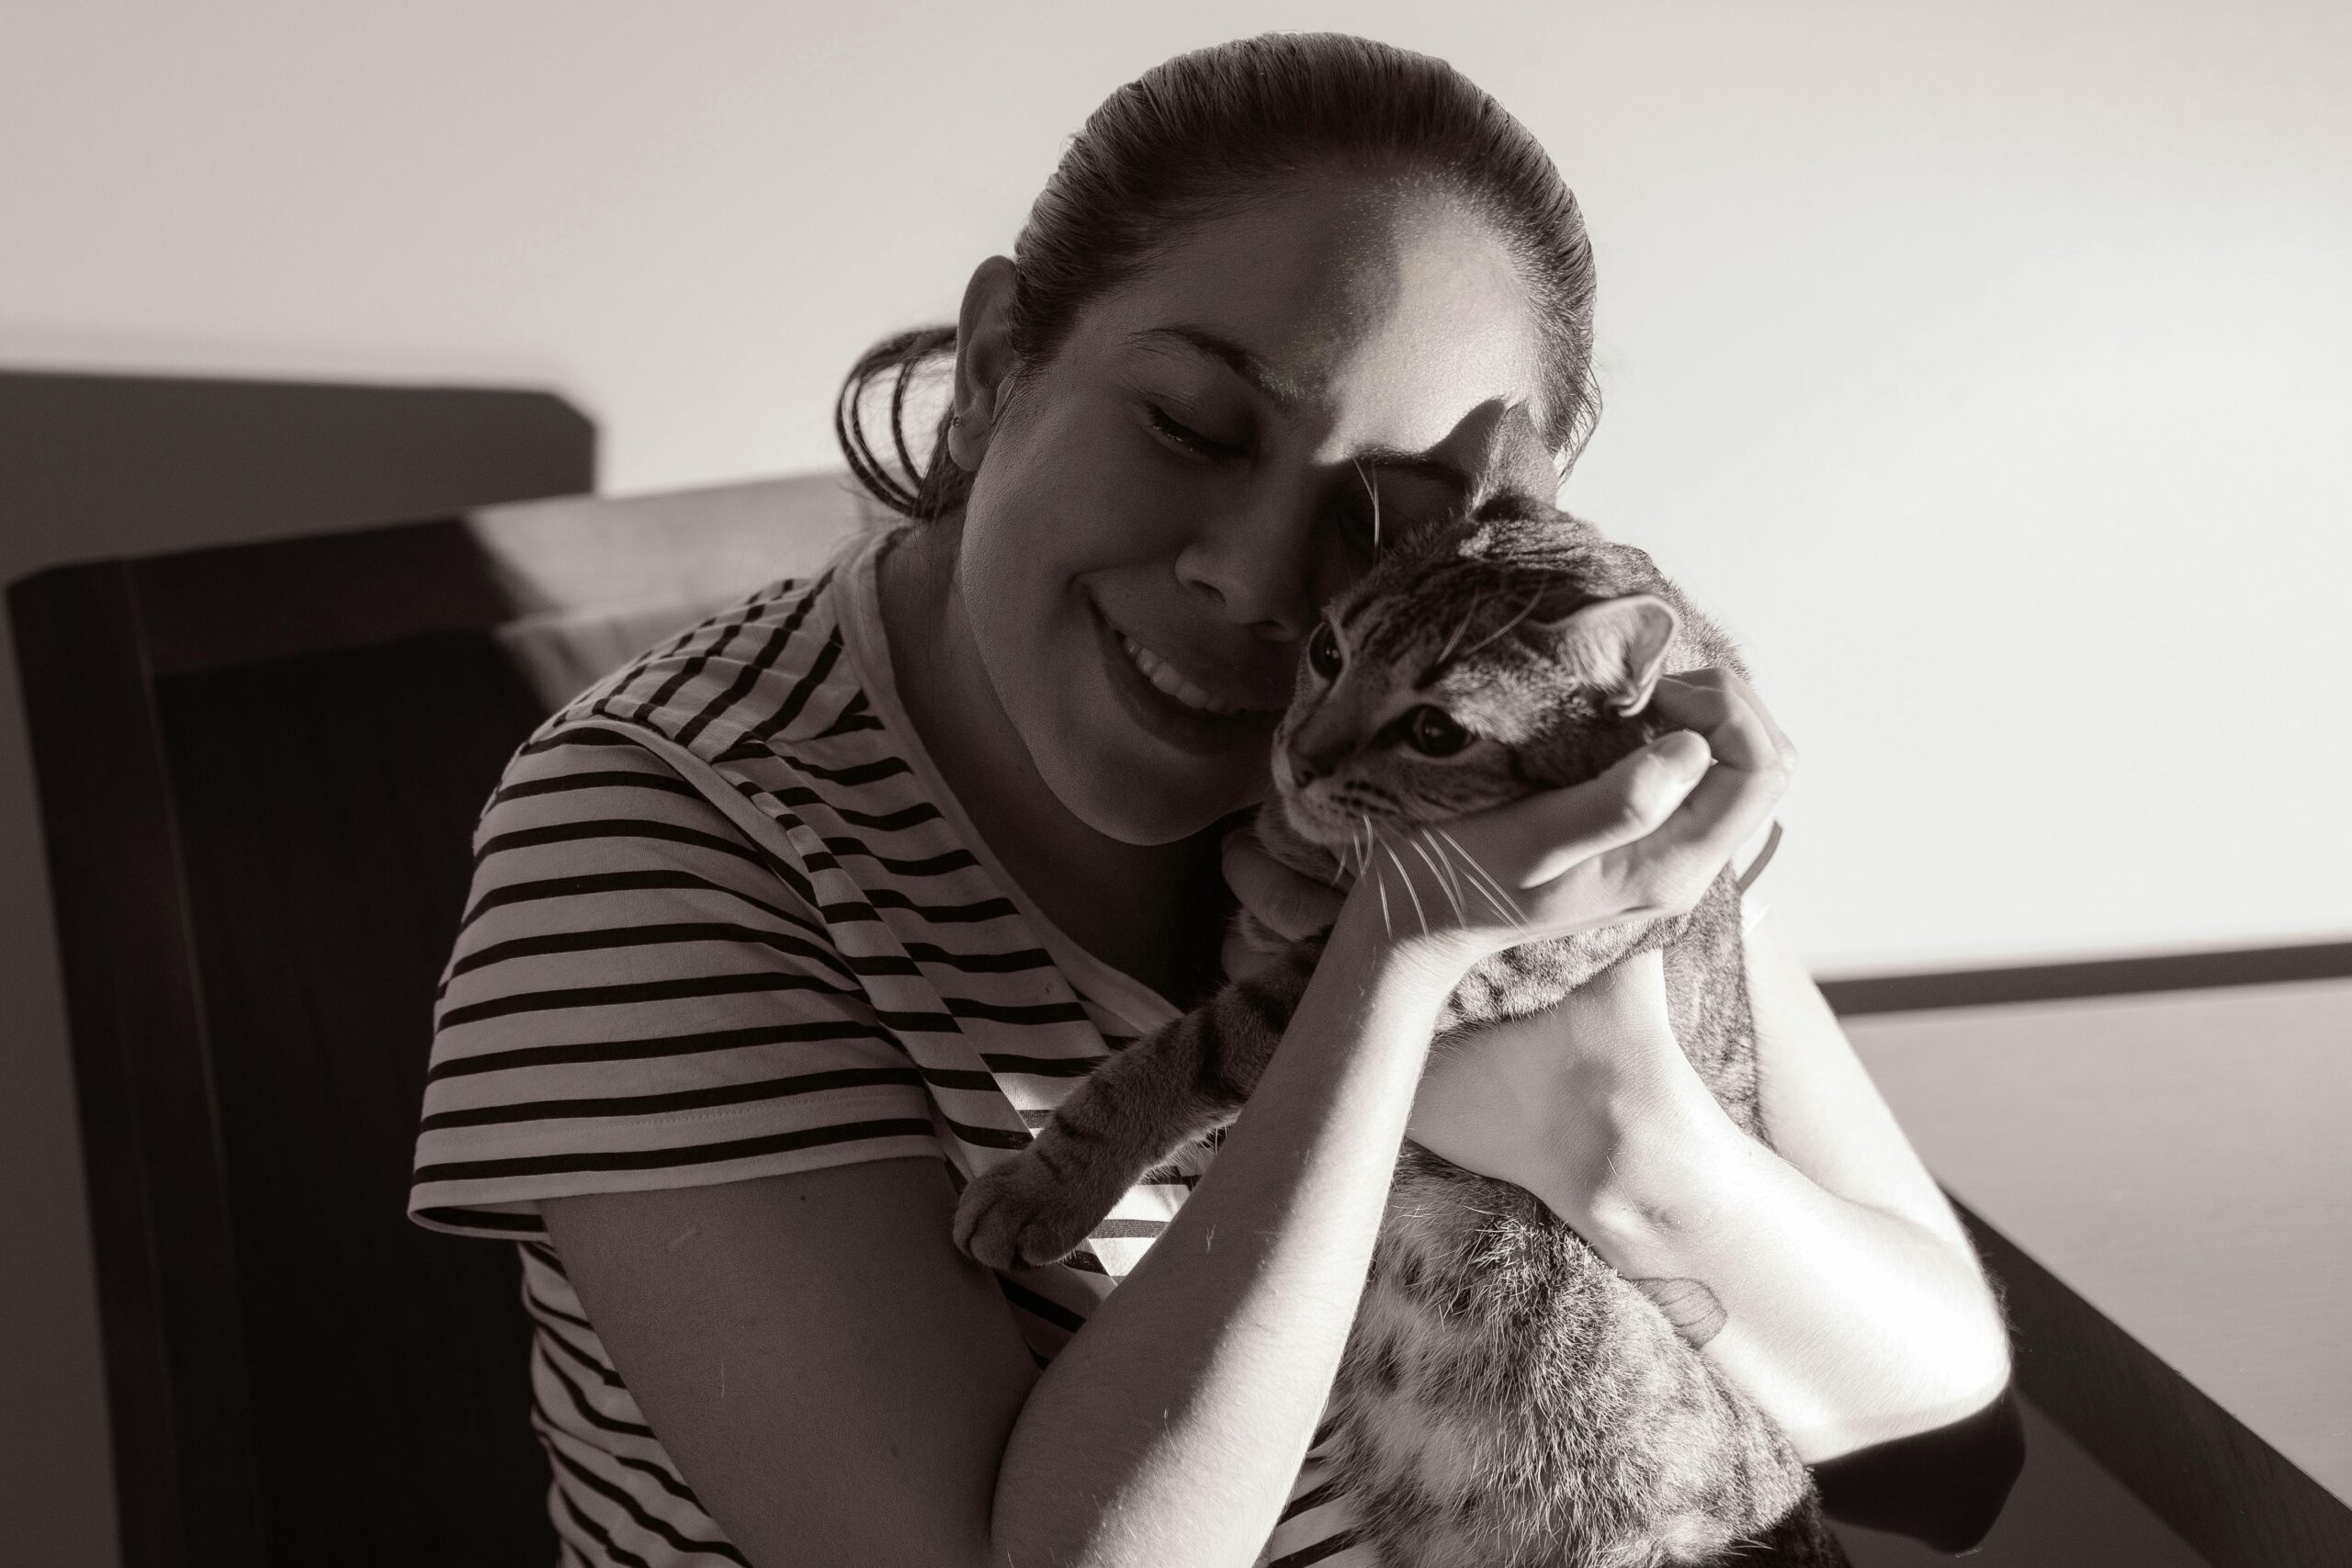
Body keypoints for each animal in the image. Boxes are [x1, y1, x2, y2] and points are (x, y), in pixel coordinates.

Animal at [945, 493, 1844, 1568]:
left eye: (1435, 728)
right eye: (1327, 650)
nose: (1298, 757)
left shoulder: (1406, 967)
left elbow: (1181, 1054)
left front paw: (1044, 1184)